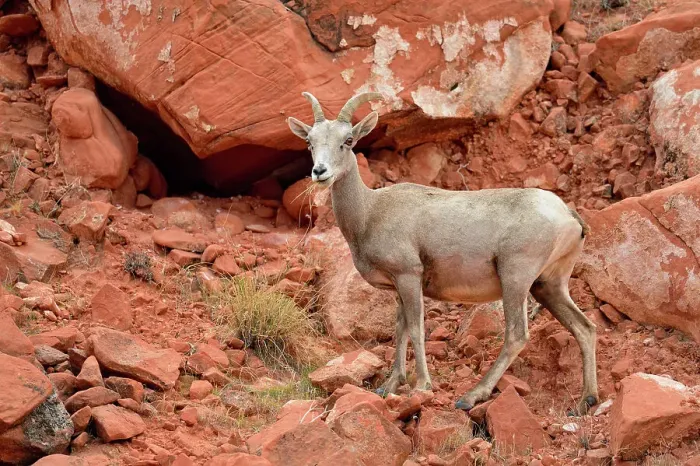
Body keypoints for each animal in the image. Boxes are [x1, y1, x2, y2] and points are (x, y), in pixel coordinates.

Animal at [287, 92, 598, 413]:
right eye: (310, 142)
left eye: (348, 140)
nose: (320, 172)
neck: (369, 213)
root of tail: (568, 216)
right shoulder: (399, 287)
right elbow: (400, 330)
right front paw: (389, 386)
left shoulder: (408, 276)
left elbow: (415, 329)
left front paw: (422, 386)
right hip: (548, 285)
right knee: (584, 328)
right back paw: (585, 401)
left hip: (516, 279)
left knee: (517, 335)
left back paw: (470, 397)